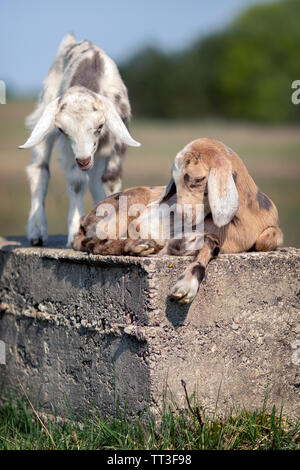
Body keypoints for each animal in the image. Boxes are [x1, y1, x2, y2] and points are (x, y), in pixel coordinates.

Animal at [19, 34, 141, 246]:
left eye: (99, 126)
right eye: (62, 129)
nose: (83, 160)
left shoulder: (119, 135)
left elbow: (110, 178)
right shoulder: (68, 148)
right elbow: (76, 182)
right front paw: (75, 232)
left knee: (95, 179)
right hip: (44, 112)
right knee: (39, 170)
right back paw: (37, 232)